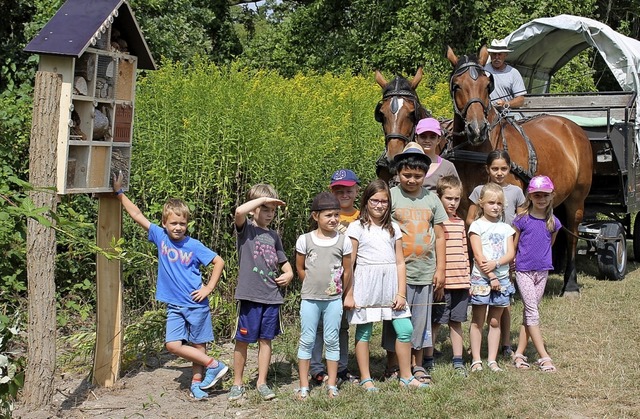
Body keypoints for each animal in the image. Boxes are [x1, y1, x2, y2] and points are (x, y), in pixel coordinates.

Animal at [444, 46, 592, 296]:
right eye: (456, 85)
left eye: (487, 84)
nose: (477, 129)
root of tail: (572, 127)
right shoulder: (466, 205)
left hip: (577, 197)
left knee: (572, 232)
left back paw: (569, 284)